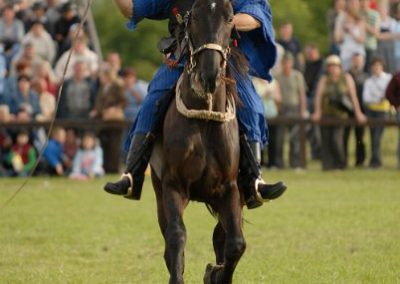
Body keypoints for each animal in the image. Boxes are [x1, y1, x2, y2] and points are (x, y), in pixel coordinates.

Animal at [152, 1, 248, 282]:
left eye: (230, 18)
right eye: (193, 17)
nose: (210, 75)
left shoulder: (230, 189)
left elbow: (236, 243)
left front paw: (215, 274)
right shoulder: (173, 185)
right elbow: (176, 237)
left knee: (222, 237)